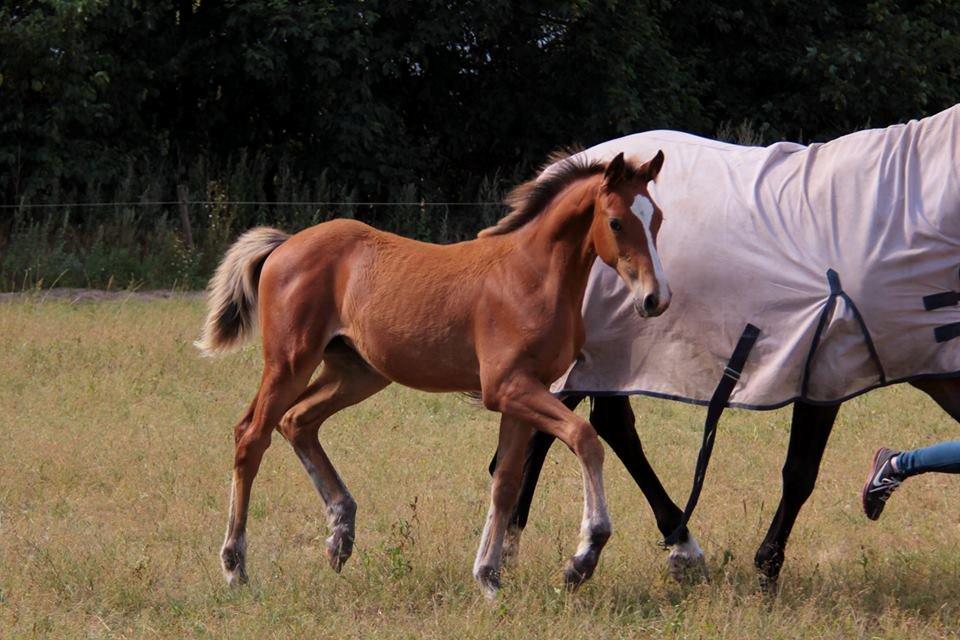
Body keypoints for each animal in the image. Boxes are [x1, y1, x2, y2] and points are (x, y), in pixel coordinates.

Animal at [197, 149, 668, 596]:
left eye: (658, 219)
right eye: (616, 222)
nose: (655, 299)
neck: (531, 276)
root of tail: (285, 244)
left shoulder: (521, 395)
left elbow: (506, 482)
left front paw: (488, 576)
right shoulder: (508, 387)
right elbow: (584, 438)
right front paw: (583, 557)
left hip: (357, 372)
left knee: (297, 421)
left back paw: (340, 536)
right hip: (290, 361)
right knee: (252, 436)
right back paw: (235, 566)